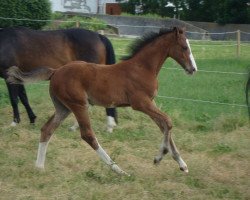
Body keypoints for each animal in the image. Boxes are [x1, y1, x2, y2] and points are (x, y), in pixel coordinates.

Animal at [7, 27, 197, 175]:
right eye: (184, 47)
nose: (193, 69)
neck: (142, 68)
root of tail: (55, 72)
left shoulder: (151, 103)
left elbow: (164, 125)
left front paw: (182, 165)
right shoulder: (141, 103)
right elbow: (168, 122)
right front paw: (159, 157)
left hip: (63, 107)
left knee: (47, 129)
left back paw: (39, 167)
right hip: (79, 105)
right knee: (88, 135)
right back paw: (118, 170)